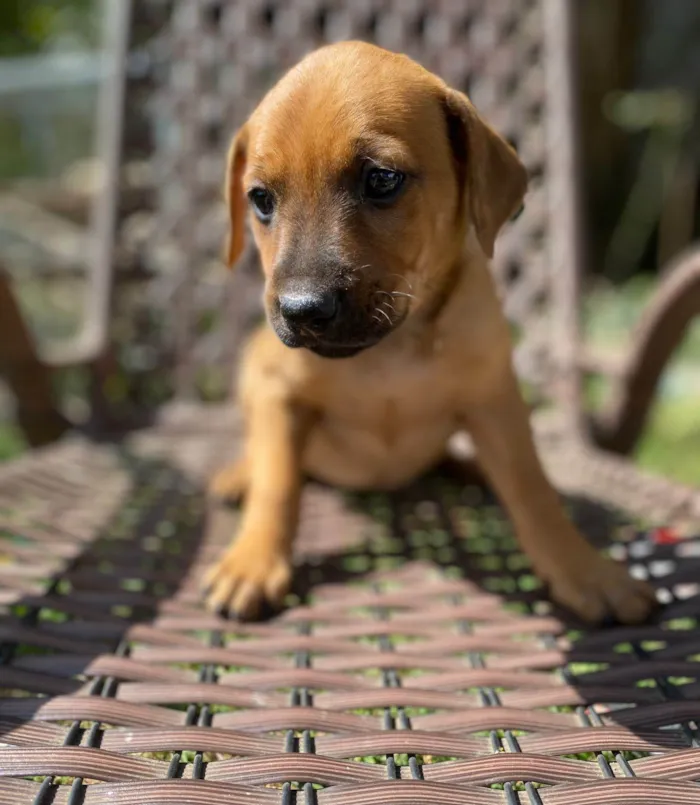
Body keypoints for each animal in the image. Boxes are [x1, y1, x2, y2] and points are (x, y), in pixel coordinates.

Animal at [204, 42, 656, 620]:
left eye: (381, 180)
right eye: (261, 199)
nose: (302, 310)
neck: (389, 350)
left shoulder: (495, 398)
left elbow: (533, 490)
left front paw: (584, 570)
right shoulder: (279, 394)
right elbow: (278, 483)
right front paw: (254, 561)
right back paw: (239, 474)